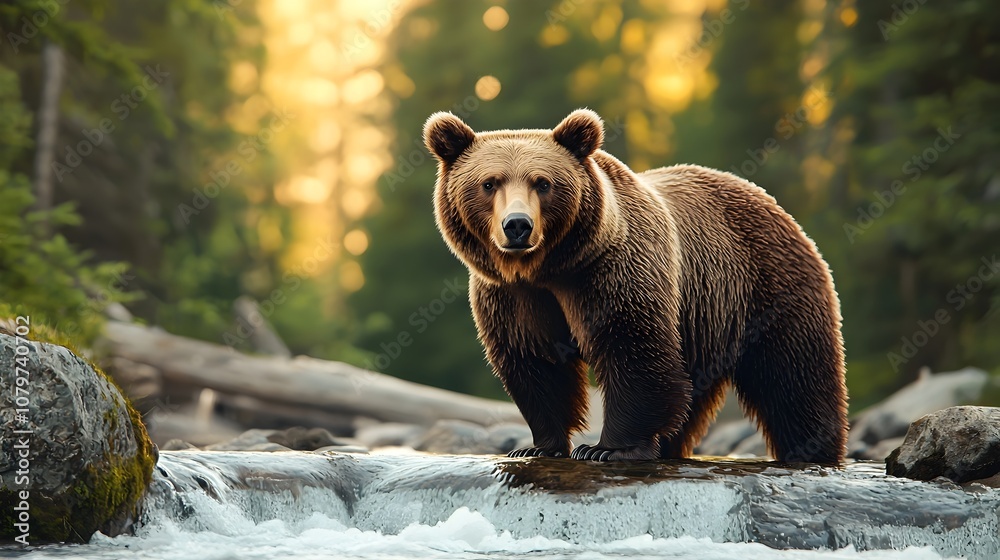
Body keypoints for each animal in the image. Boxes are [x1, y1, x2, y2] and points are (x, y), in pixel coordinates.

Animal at [423, 108, 848, 463]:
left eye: (542, 183)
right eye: (489, 183)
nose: (517, 226)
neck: (548, 267)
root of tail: (770, 201)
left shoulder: (612, 270)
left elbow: (632, 347)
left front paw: (606, 449)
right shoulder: (513, 296)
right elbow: (536, 363)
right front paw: (537, 446)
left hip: (766, 286)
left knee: (794, 376)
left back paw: (812, 451)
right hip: (705, 322)